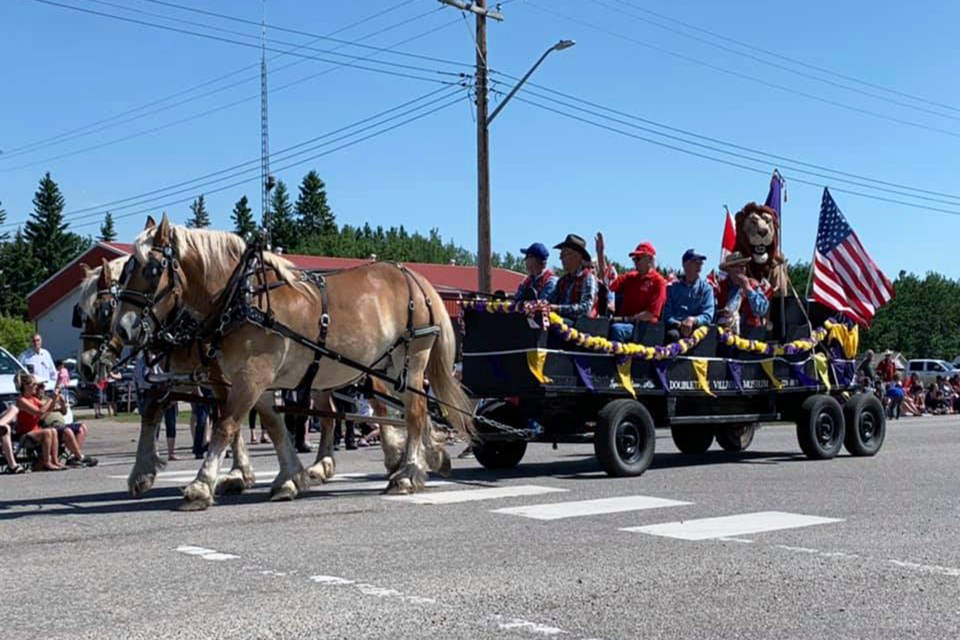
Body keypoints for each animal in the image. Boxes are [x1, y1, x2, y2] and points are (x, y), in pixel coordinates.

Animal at [107, 215, 470, 510]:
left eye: (151, 270)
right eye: (123, 274)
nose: (122, 329)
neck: (241, 299)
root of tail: (414, 277)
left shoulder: (247, 377)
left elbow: (225, 425)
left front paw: (200, 485)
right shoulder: (248, 380)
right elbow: (272, 426)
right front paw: (288, 478)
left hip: (409, 359)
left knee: (414, 412)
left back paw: (407, 472)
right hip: (367, 368)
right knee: (362, 413)